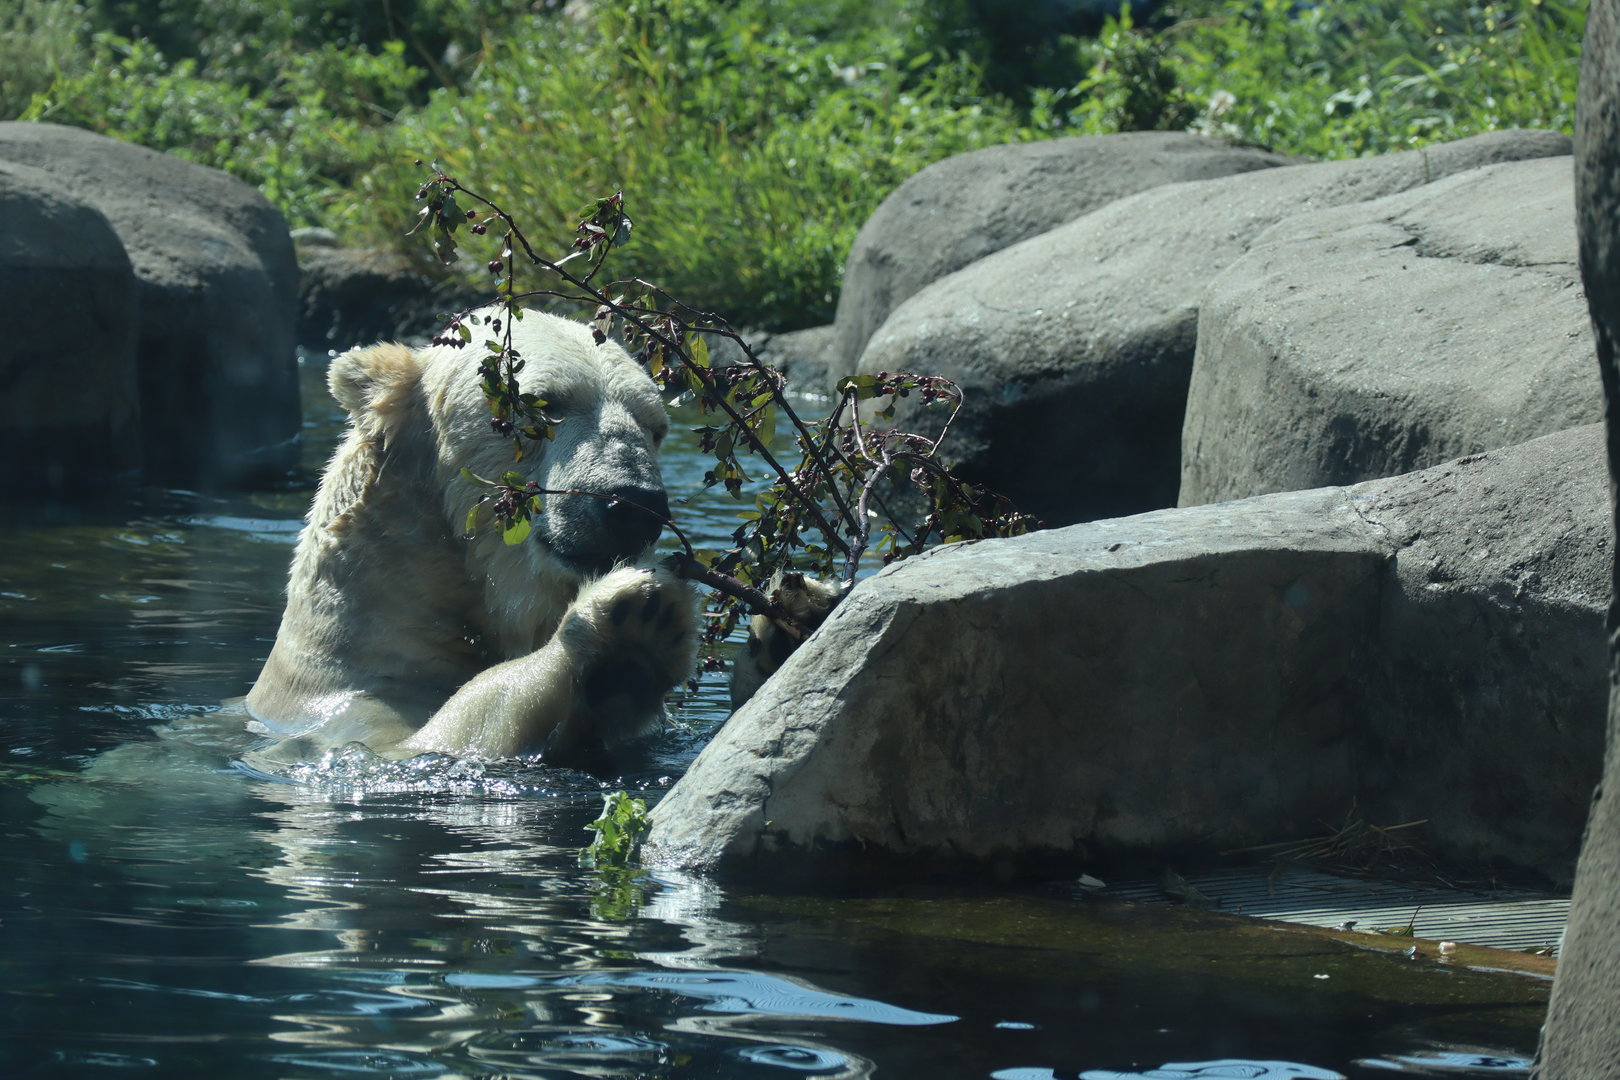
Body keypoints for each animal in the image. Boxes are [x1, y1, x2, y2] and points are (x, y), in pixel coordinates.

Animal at [244, 307, 698, 769]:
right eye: (545, 405)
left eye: (655, 427)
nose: (635, 504)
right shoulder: (345, 693)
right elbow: (425, 738)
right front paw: (634, 616)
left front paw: (631, 658)